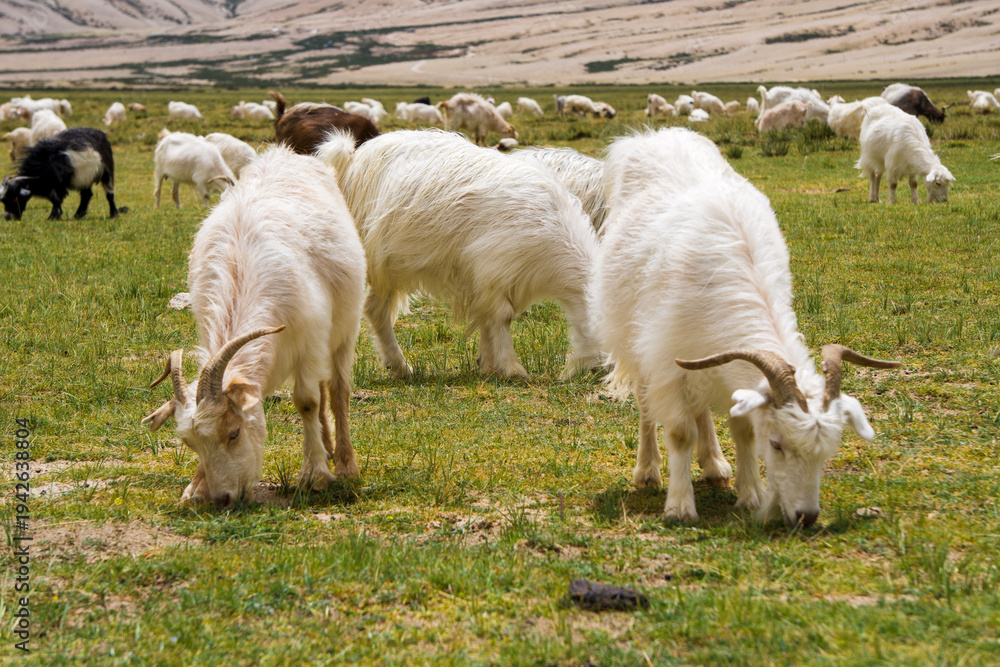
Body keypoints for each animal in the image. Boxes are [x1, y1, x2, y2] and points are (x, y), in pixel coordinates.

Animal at [142, 146, 366, 507]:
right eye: (191, 444)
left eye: (234, 433)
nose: (223, 499)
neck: (241, 276)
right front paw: (196, 487)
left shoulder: (309, 342)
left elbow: (306, 401)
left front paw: (315, 475)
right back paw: (330, 448)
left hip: (343, 330)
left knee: (336, 390)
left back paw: (345, 463)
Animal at [316, 128, 601, 380]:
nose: (600, 373)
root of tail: (352, 158)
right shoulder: (493, 267)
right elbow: (502, 317)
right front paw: (512, 367)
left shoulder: (489, 280)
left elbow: (487, 318)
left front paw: (489, 365)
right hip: (381, 261)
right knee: (376, 310)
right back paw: (399, 365)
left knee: (374, 308)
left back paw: (397, 366)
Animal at [593, 127, 900, 525]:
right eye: (777, 444)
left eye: (826, 453)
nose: (806, 516)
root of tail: (650, 136)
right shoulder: (666, 359)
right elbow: (679, 432)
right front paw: (679, 506)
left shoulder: (719, 359)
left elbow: (741, 429)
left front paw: (750, 494)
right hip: (635, 337)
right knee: (647, 403)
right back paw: (647, 470)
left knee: (700, 407)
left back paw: (714, 463)